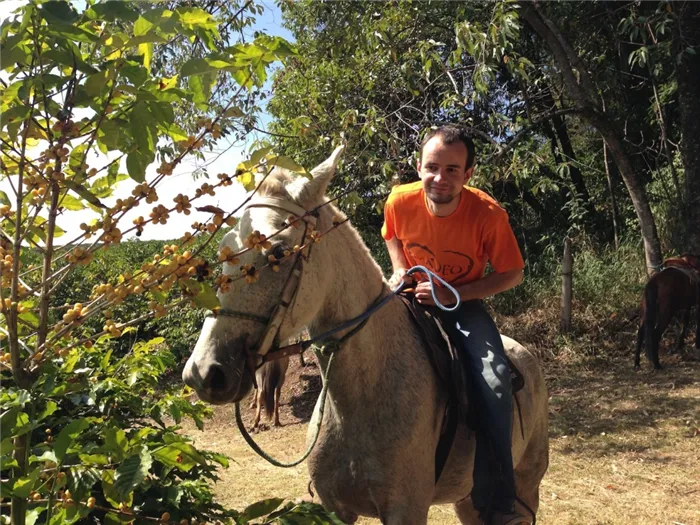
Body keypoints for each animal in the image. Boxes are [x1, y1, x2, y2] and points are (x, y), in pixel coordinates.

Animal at [183, 147, 548, 524]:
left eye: (278, 252)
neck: (365, 393)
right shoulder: (336, 508)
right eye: (224, 251)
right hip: (467, 500)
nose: (203, 373)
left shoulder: (406, 510)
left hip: (525, 487)